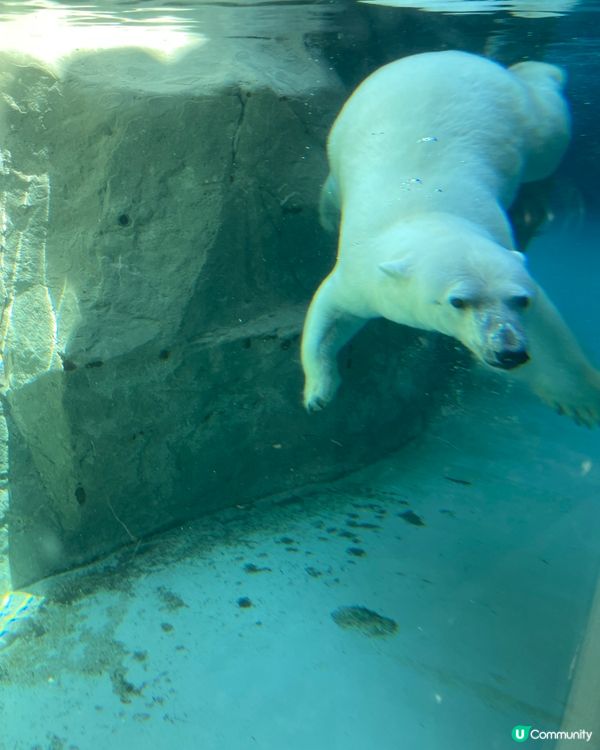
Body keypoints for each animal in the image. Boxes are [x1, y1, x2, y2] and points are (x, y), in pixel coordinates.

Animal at [302, 50, 600, 426]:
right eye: (458, 301)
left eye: (521, 300)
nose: (508, 351)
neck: (429, 213)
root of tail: (448, 54)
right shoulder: (363, 271)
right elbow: (330, 311)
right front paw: (318, 393)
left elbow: (550, 331)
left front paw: (582, 400)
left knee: (547, 134)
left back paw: (539, 69)